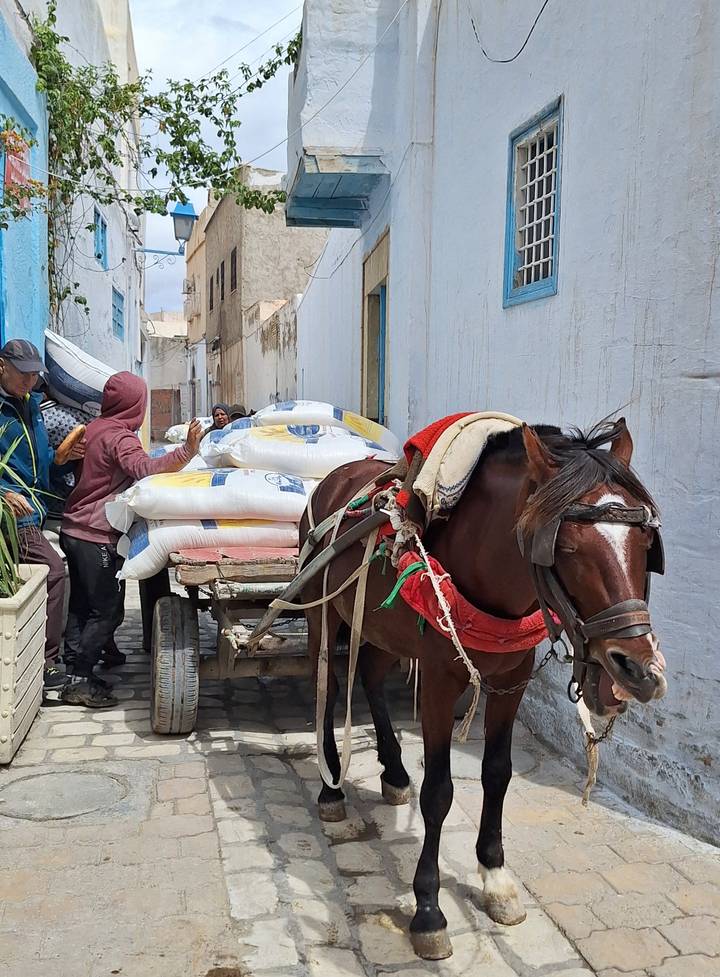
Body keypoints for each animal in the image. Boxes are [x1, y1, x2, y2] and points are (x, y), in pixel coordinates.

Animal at [298, 418, 667, 960]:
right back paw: (331, 789)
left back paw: (393, 771)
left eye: (645, 545)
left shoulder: (512, 680)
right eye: (566, 549)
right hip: (321, 612)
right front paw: (428, 909)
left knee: (369, 674)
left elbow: (498, 773)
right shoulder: (438, 680)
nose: (637, 669)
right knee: (325, 686)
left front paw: (495, 876)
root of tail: (337, 475)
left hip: (381, 624)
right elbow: (438, 791)